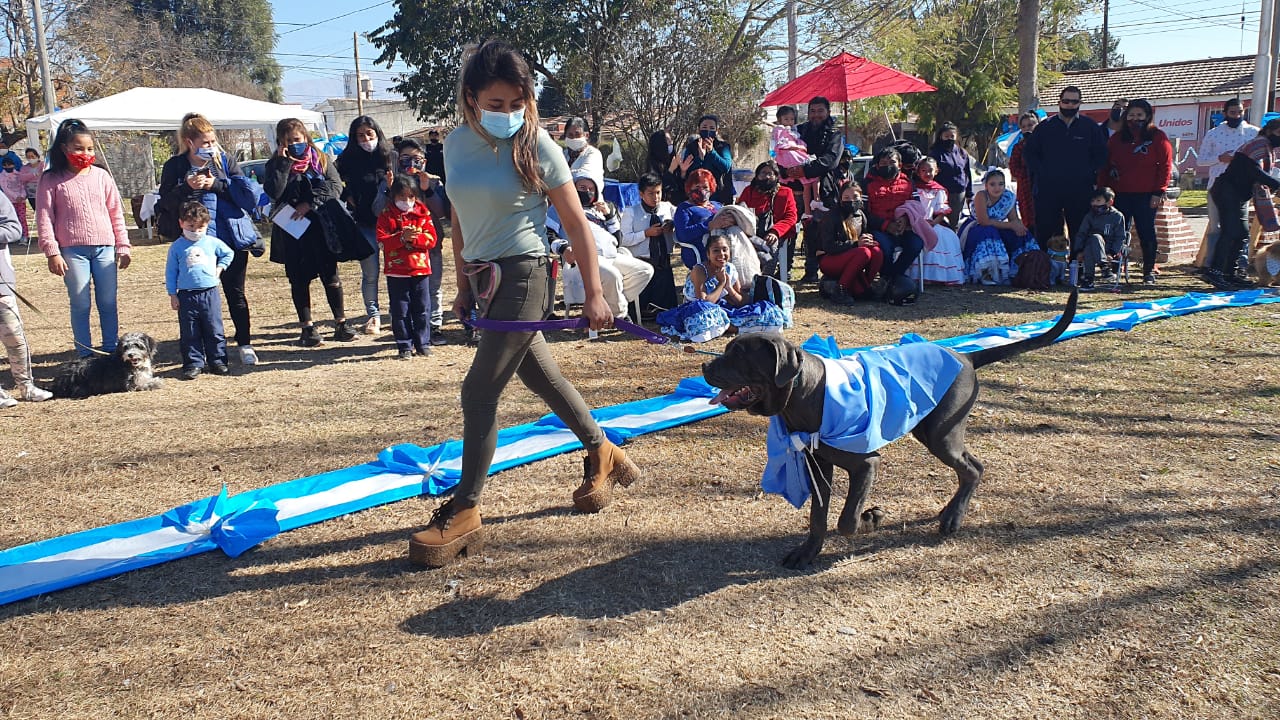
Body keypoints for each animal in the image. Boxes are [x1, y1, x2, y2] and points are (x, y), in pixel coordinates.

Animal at [706, 288, 1075, 563]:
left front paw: (872, 518)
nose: (705, 366)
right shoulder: (817, 465)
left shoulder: (866, 464)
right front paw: (807, 552)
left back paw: (953, 518)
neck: (808, 394)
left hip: (940, 433)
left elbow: (847, 520)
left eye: (739, 354)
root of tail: (966, 356)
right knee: (969, 468)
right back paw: (948, 510)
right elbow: (818, 516)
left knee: (973, 468)